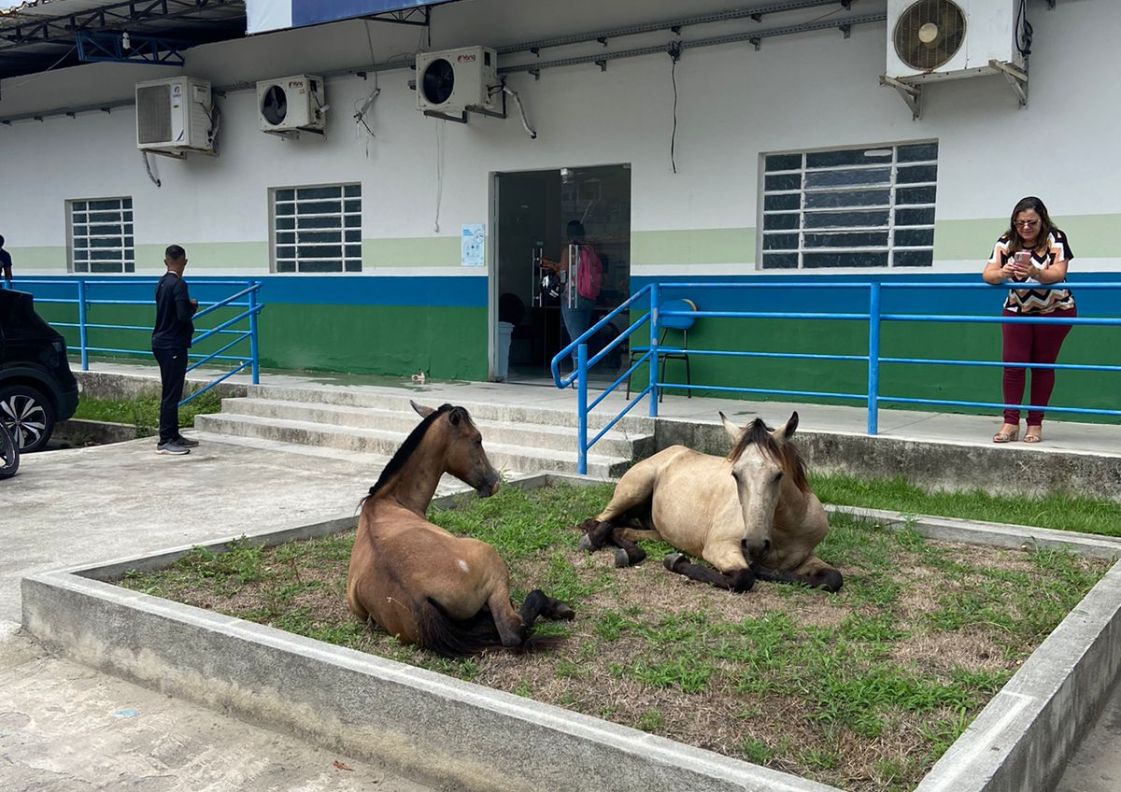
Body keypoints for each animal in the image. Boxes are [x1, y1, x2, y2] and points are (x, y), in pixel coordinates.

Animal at [345, 403, 573, 658]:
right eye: (478, 439)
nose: (494, 482)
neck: (387, 501)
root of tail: (417, 598)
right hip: (492, 566)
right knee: (512, 630)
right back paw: (558, 608)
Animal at [578, 412, 842, 591]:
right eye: (735, 474)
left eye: (778, 474)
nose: (755, 544)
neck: (784, 530)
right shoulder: (719, 547)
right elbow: (743, 577)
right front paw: (676, 561)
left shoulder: (805, 558)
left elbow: (833, 578)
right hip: (633, 489)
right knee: (596, 521)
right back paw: (594, 541)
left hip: (656, 530)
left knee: (620, 528)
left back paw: (630, 553)